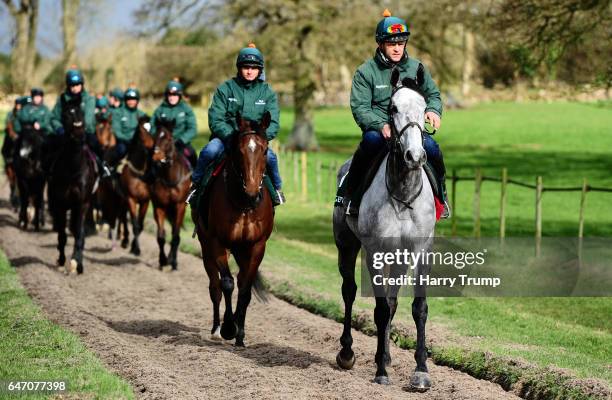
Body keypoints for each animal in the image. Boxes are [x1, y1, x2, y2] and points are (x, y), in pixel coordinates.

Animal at [47, 101, 98, 274]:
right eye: (66, 114)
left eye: (82, 113)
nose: (78, 136)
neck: (73, 169)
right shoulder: (60, 204)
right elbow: (62, 235)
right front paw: (62, 261)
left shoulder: (82, 204)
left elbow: (79, 234)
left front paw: (77, 263)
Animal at [149, 119, 190, 268]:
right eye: (154, 136)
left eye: (168, 138)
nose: (155, 155)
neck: (171, 178)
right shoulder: (159, 206)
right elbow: (161, 236)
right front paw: (163, 260)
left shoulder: (180, 206)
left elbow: (175, 236)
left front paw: (172, 261)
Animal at [194, 111, 274, 346]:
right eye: (239, 150)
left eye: (265, 149)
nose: (252, 191)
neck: (243, 204)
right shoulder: (217, 243)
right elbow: (227, 284)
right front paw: (229, 328)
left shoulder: (257, 246)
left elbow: (245, 289)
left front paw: (240, 334)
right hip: (206, 246)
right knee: (215, 286)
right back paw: (216, 328)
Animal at [334, 69, 436, 390]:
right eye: (392, 108)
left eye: (424, 107)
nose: (415, 156)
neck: (403, 193)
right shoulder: (375, 252)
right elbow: (378, 310)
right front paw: (380, 372)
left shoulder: (421, 251)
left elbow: (417, 307)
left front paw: (420, 371)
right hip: (346, 245)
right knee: (349, 291)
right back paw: (347, 352)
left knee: (392, 302)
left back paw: (387, 356)